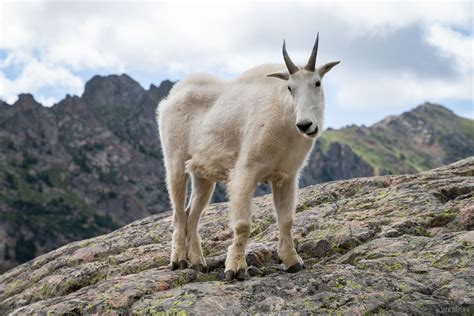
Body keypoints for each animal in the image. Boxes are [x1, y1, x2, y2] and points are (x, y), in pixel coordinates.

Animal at [160, 35, 340, 282]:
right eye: (290, 87)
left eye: (317, 83)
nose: (306, 125)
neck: (285, 121)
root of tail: (170, 98)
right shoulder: (246, 171)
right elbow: (243, 224)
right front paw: (235, 269)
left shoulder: (286, 177)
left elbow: (286, 220)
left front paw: (293, 262)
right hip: (175, 161)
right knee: (178, 213)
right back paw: (178, 261)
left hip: (202, 174)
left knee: (191, 214)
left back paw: (198, 263)